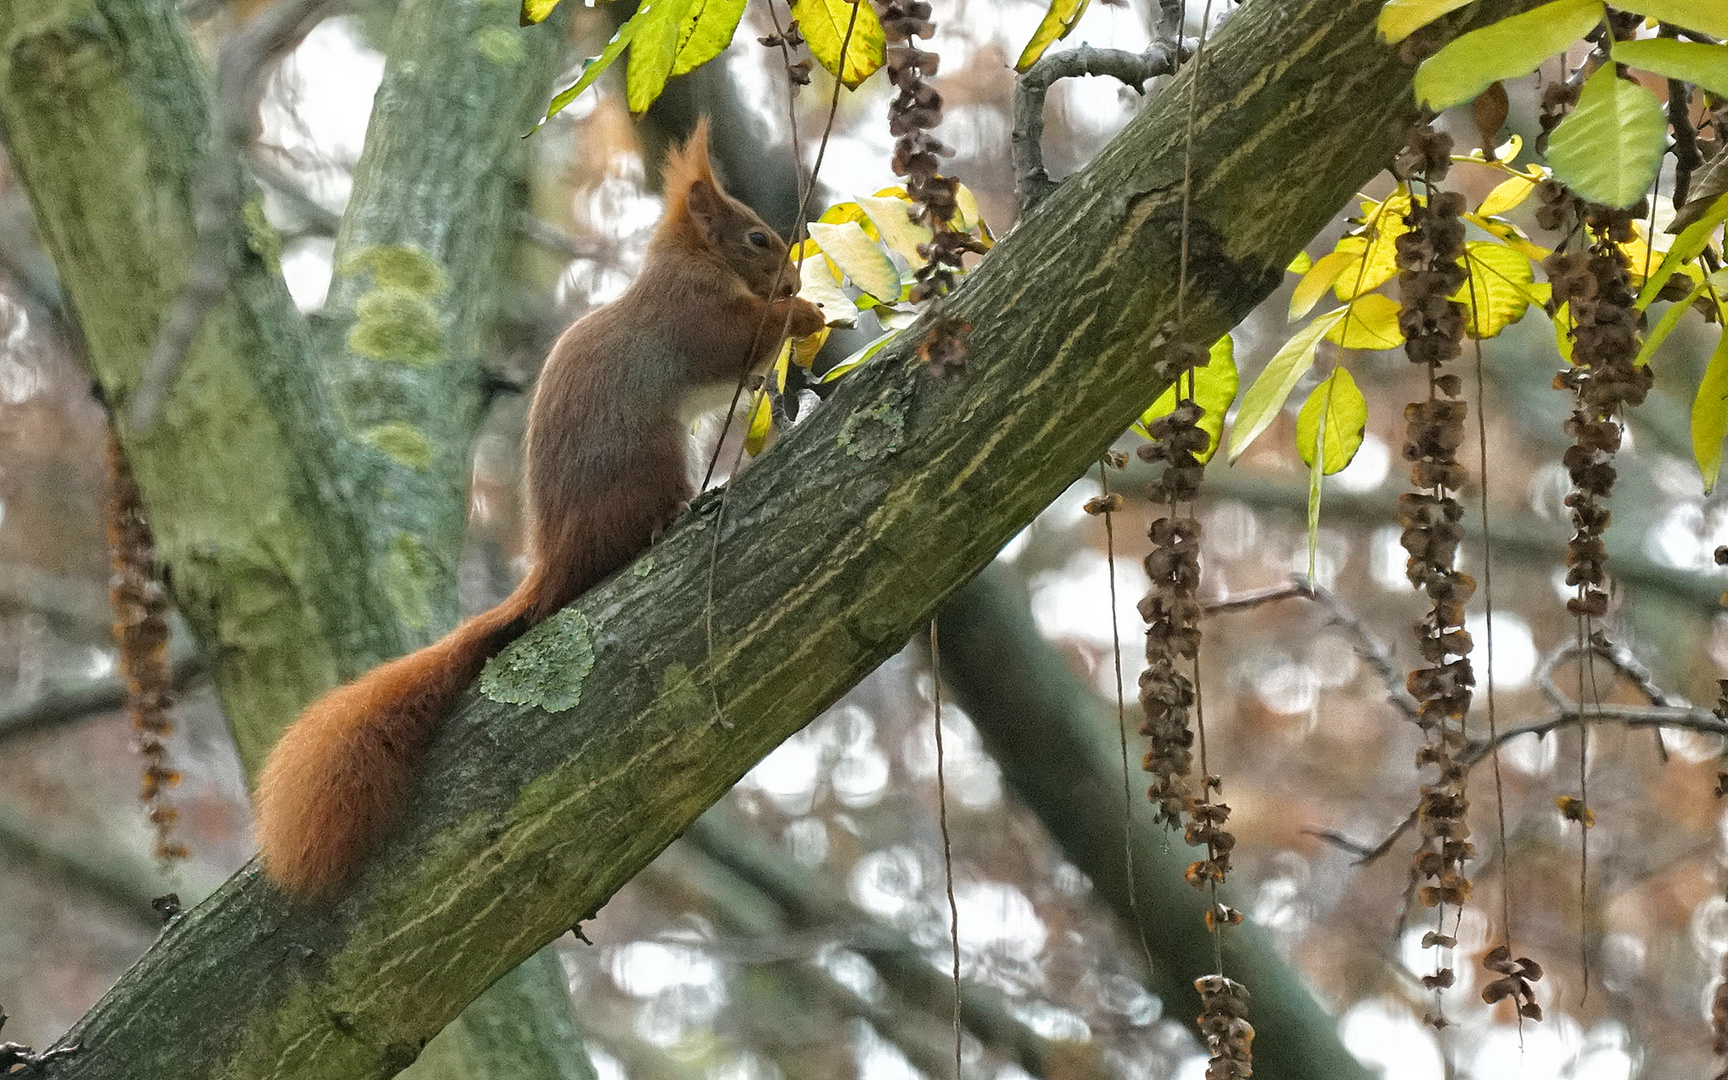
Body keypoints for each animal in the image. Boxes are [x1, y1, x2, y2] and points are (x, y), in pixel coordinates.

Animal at [252, 120, 825, 891]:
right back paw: (672, 516)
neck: (691, 263)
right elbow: (738, 344)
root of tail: (556, 562)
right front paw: (803, 312)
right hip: (652, 459)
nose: (793, 278)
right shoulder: (691, 316)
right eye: (759, 238)